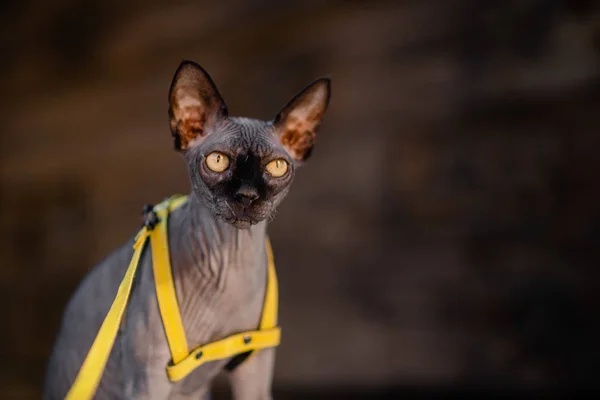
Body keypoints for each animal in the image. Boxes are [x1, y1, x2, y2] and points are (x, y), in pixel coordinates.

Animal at [43, 60, 332, 400]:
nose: (247, 195)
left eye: (277, 167)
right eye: (217, 160)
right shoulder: (148, 379)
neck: (229, 263)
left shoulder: (254, 366)